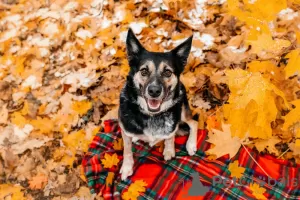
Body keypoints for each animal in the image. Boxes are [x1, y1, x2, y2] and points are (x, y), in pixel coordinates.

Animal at [118, 28, 198, 180]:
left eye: (167, 72)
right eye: (144, 71)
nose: (154, 91)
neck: (151, 115)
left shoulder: (173, 123)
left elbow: (170, 136)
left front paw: (169, 149)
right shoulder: (124, 129)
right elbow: (127, 149)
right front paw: (127, 167)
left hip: (183, 111)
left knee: (194, 123)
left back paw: (191, 144)